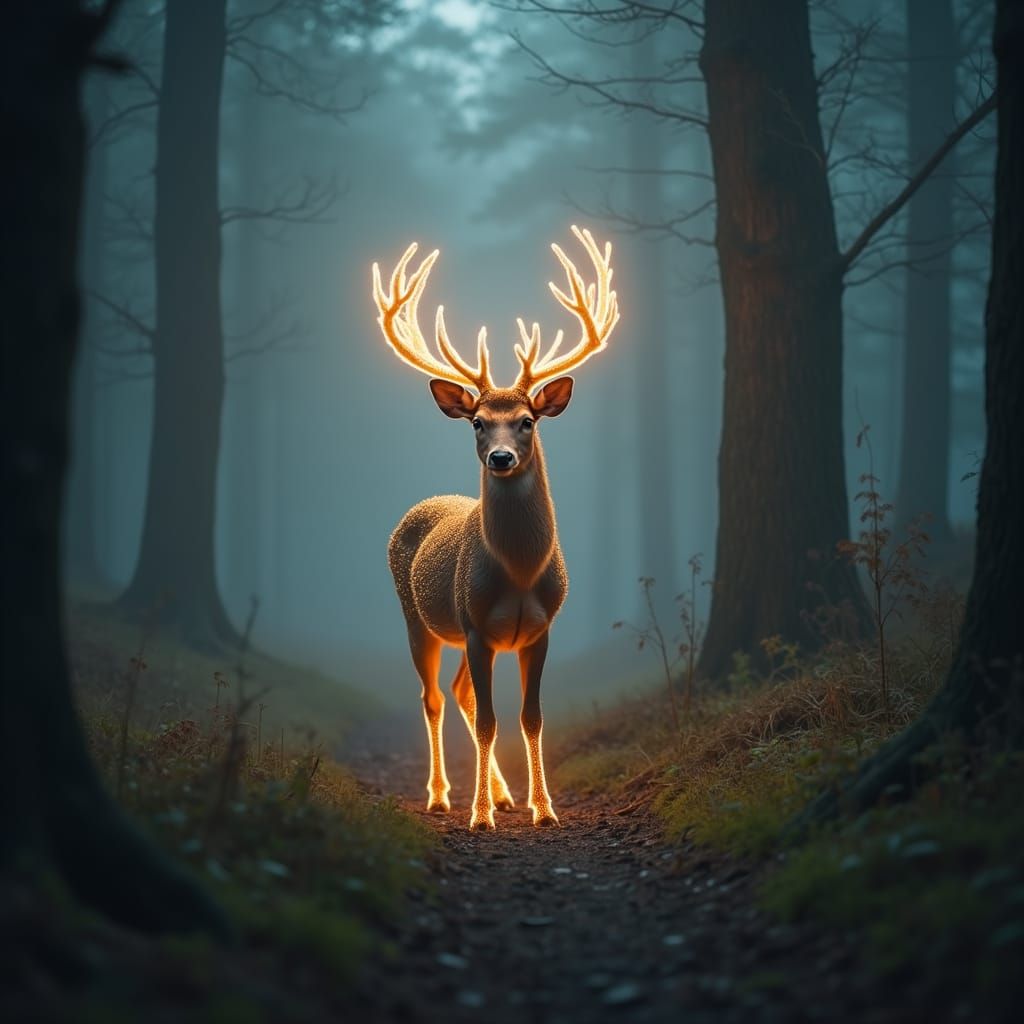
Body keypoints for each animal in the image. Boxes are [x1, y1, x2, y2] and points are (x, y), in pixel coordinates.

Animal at [372, 226, 620, 831]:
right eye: (478, 423)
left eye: (527, 420)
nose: (501, 458)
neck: (520, 572)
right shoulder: (477, 624)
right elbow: (489, 721)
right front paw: (480, 816)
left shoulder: (543, 628)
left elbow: (531, 717)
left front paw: (542, 809)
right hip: (418, 616)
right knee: (435, 697)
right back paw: (442, 796)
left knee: (458, 690)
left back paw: (505, 794)